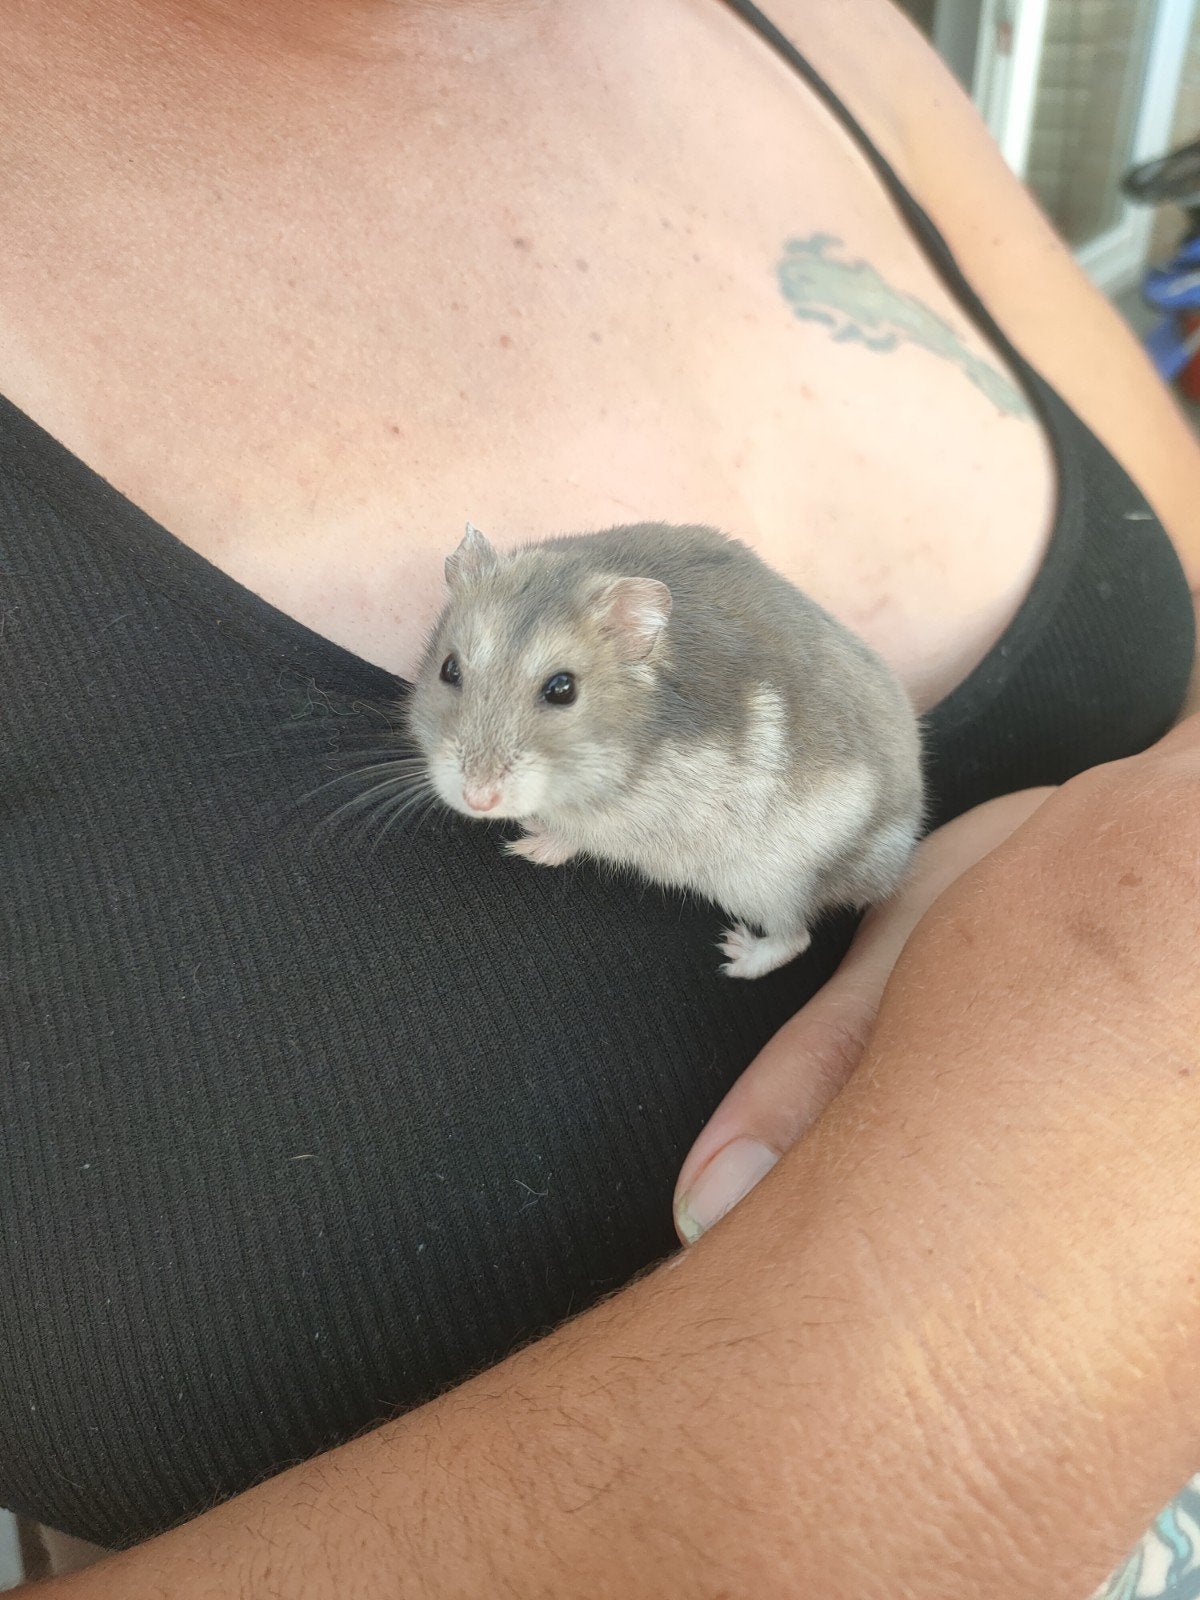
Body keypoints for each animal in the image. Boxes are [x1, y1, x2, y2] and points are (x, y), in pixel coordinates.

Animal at [407, 522, 924, 978]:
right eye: (449, 669)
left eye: (562, 689)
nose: (477, 800)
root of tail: (892, 869)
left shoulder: (636, 820)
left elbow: (579, 836)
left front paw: (528, 845)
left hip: (767, 884)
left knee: (796, 937)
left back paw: (734, 954)